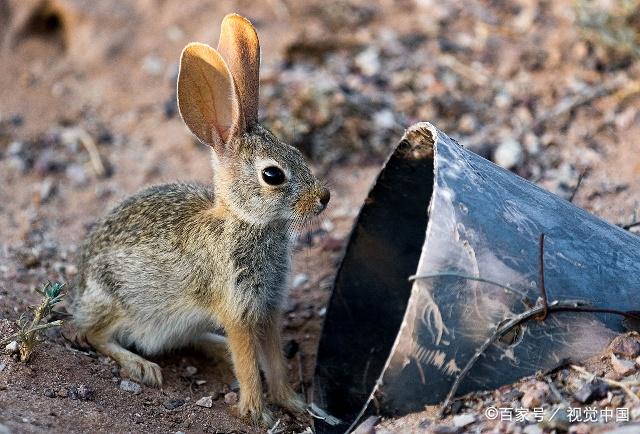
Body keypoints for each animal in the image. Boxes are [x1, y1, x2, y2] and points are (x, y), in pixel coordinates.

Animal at [72, 13, 330, 428]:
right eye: (273, 175)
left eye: (297, 150)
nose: (324, 198)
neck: (245, 222)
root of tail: (79, 285)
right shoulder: (236, 308)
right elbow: (247, 360)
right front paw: (258, 414)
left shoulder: (267, 309)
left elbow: (275, 361)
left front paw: (294, 404)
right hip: (119, 302)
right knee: (93, 334)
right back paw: (142, 366)